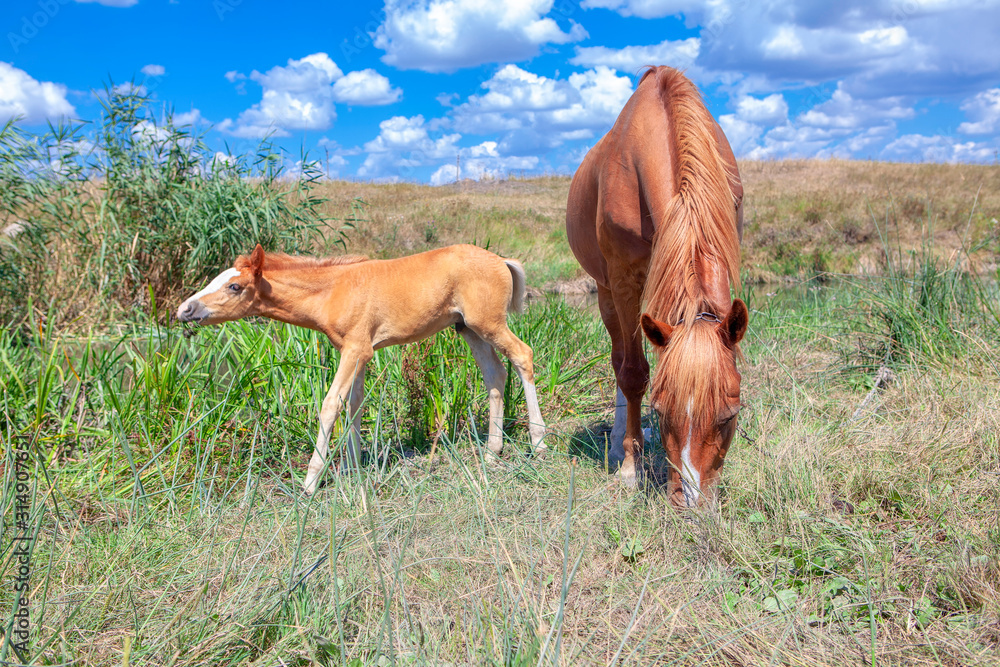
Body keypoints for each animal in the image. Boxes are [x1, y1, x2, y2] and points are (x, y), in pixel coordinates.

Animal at [176, 243, 548, 494]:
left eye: (234, 286)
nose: (185, 310)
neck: (332, 290)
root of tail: (500, 260)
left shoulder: (356, 349)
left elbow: (331, 405)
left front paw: (311, 481)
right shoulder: (357, 353)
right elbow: (354, 404)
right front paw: (353, 468)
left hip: (488, 324)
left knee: (523, 356)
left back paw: (539, 443)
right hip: (468, 328)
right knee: (495, 374)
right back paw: (492, 451)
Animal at [565, 66, 747, 508]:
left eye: (729, 416)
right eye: (661, 411)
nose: (690, 505)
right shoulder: (623, 280)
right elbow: (632, 373)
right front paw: (631, 467)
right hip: (607, 293)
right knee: (619, 358)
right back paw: (621, 442)